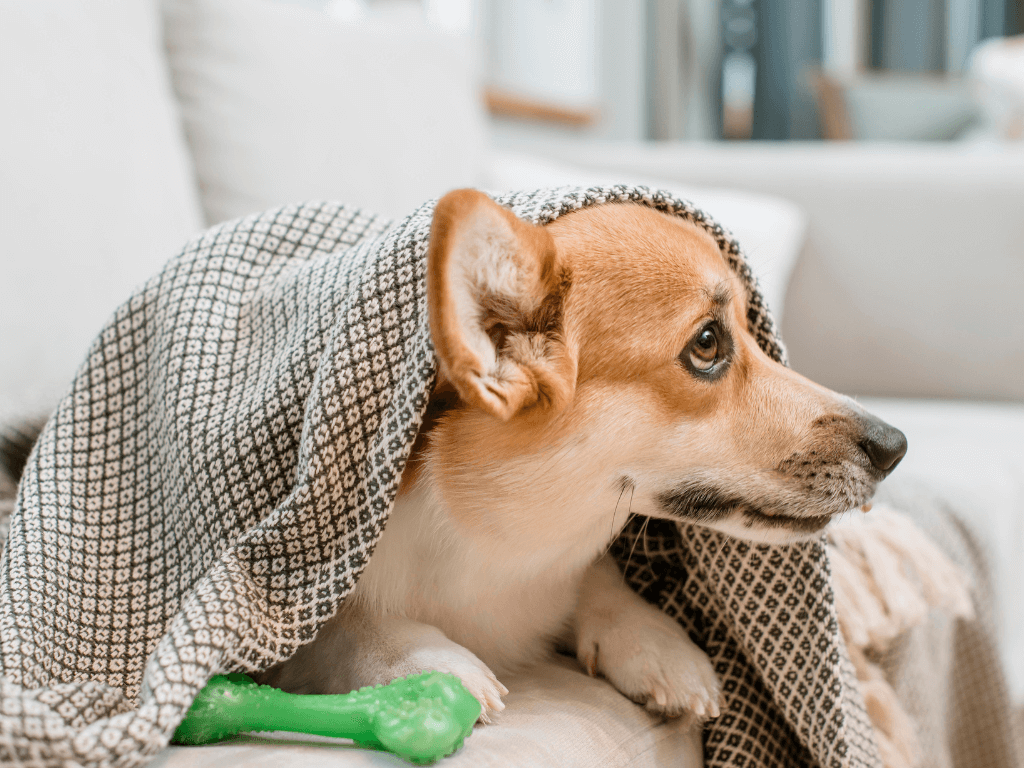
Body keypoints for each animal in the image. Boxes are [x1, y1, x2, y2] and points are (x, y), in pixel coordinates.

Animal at [260, 189, 909, 724]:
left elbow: (599, 580)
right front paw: (426, 662)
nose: (894, 447)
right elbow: (344, 628)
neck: (495, 542)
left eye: (753, 330)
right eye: (706, 344)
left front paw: (656, 644)